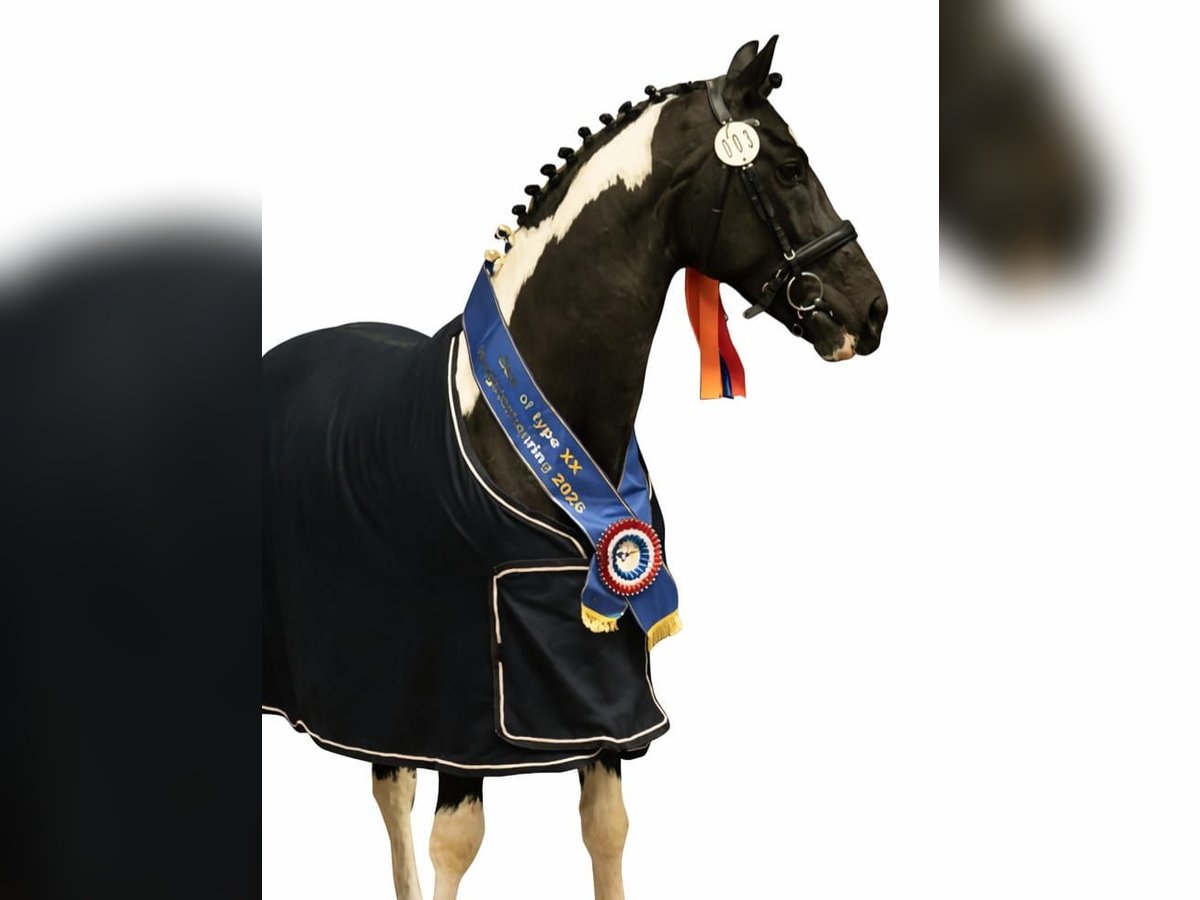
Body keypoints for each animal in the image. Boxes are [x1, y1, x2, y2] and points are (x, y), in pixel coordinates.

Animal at [263, 36, 887, 900]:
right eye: (791, 167)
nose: (872, 311)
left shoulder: (600, 693)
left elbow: (607, 830)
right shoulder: (465, 712)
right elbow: (457, 843)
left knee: (387, 788)